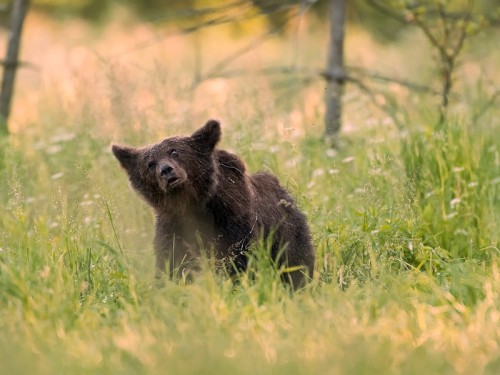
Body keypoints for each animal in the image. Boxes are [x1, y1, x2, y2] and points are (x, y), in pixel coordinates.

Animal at [112, 120, 314, 290]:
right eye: (150, 164)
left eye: (175, 151)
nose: (166, 170)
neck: (193, 206)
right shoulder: (174, 228)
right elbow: (172, 263)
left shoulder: (233, 223)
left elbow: (239, 259)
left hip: (287, 232)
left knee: (296, 262)